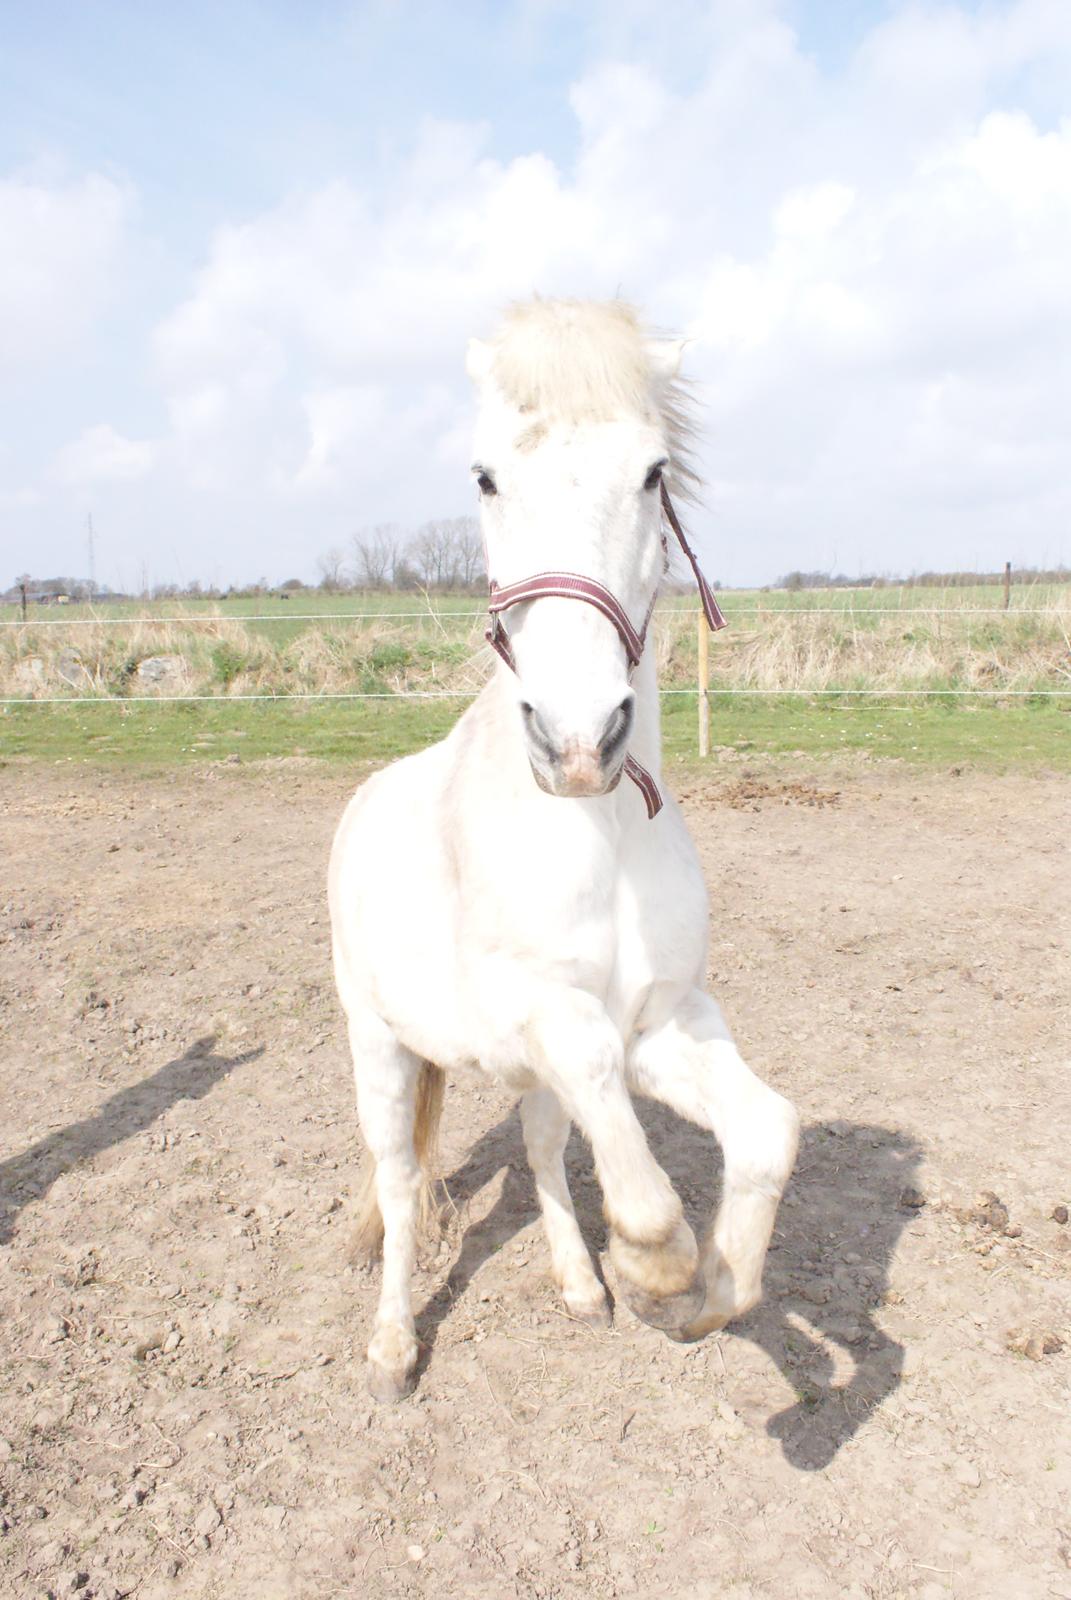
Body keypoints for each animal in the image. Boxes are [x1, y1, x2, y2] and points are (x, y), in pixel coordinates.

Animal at [329, 300, 797, 1401]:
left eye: (654, 471)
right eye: (485, 476)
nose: (580, 742)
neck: (602, 835)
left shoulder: (661, 1023)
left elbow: (769, 1130)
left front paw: (702, 1294)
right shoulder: (551, 1016)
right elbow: (645, 1187)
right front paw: (658, 1272)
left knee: (542, 1149)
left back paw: (580, 1284)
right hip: (378, 1043)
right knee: (401, 1182)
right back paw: (392, 1349)